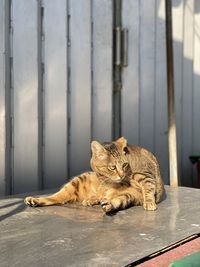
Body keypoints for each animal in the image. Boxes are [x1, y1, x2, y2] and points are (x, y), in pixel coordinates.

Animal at [24, 137, 165, 215]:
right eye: (112, 167)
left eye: (124, 165)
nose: (122, 175)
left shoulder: (145, 174)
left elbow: (148, 187)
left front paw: (149, 202)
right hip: (77, 181)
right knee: (56, 197)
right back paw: (34, 200)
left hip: (127, 197)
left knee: (114, 202)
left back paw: (104, 203)